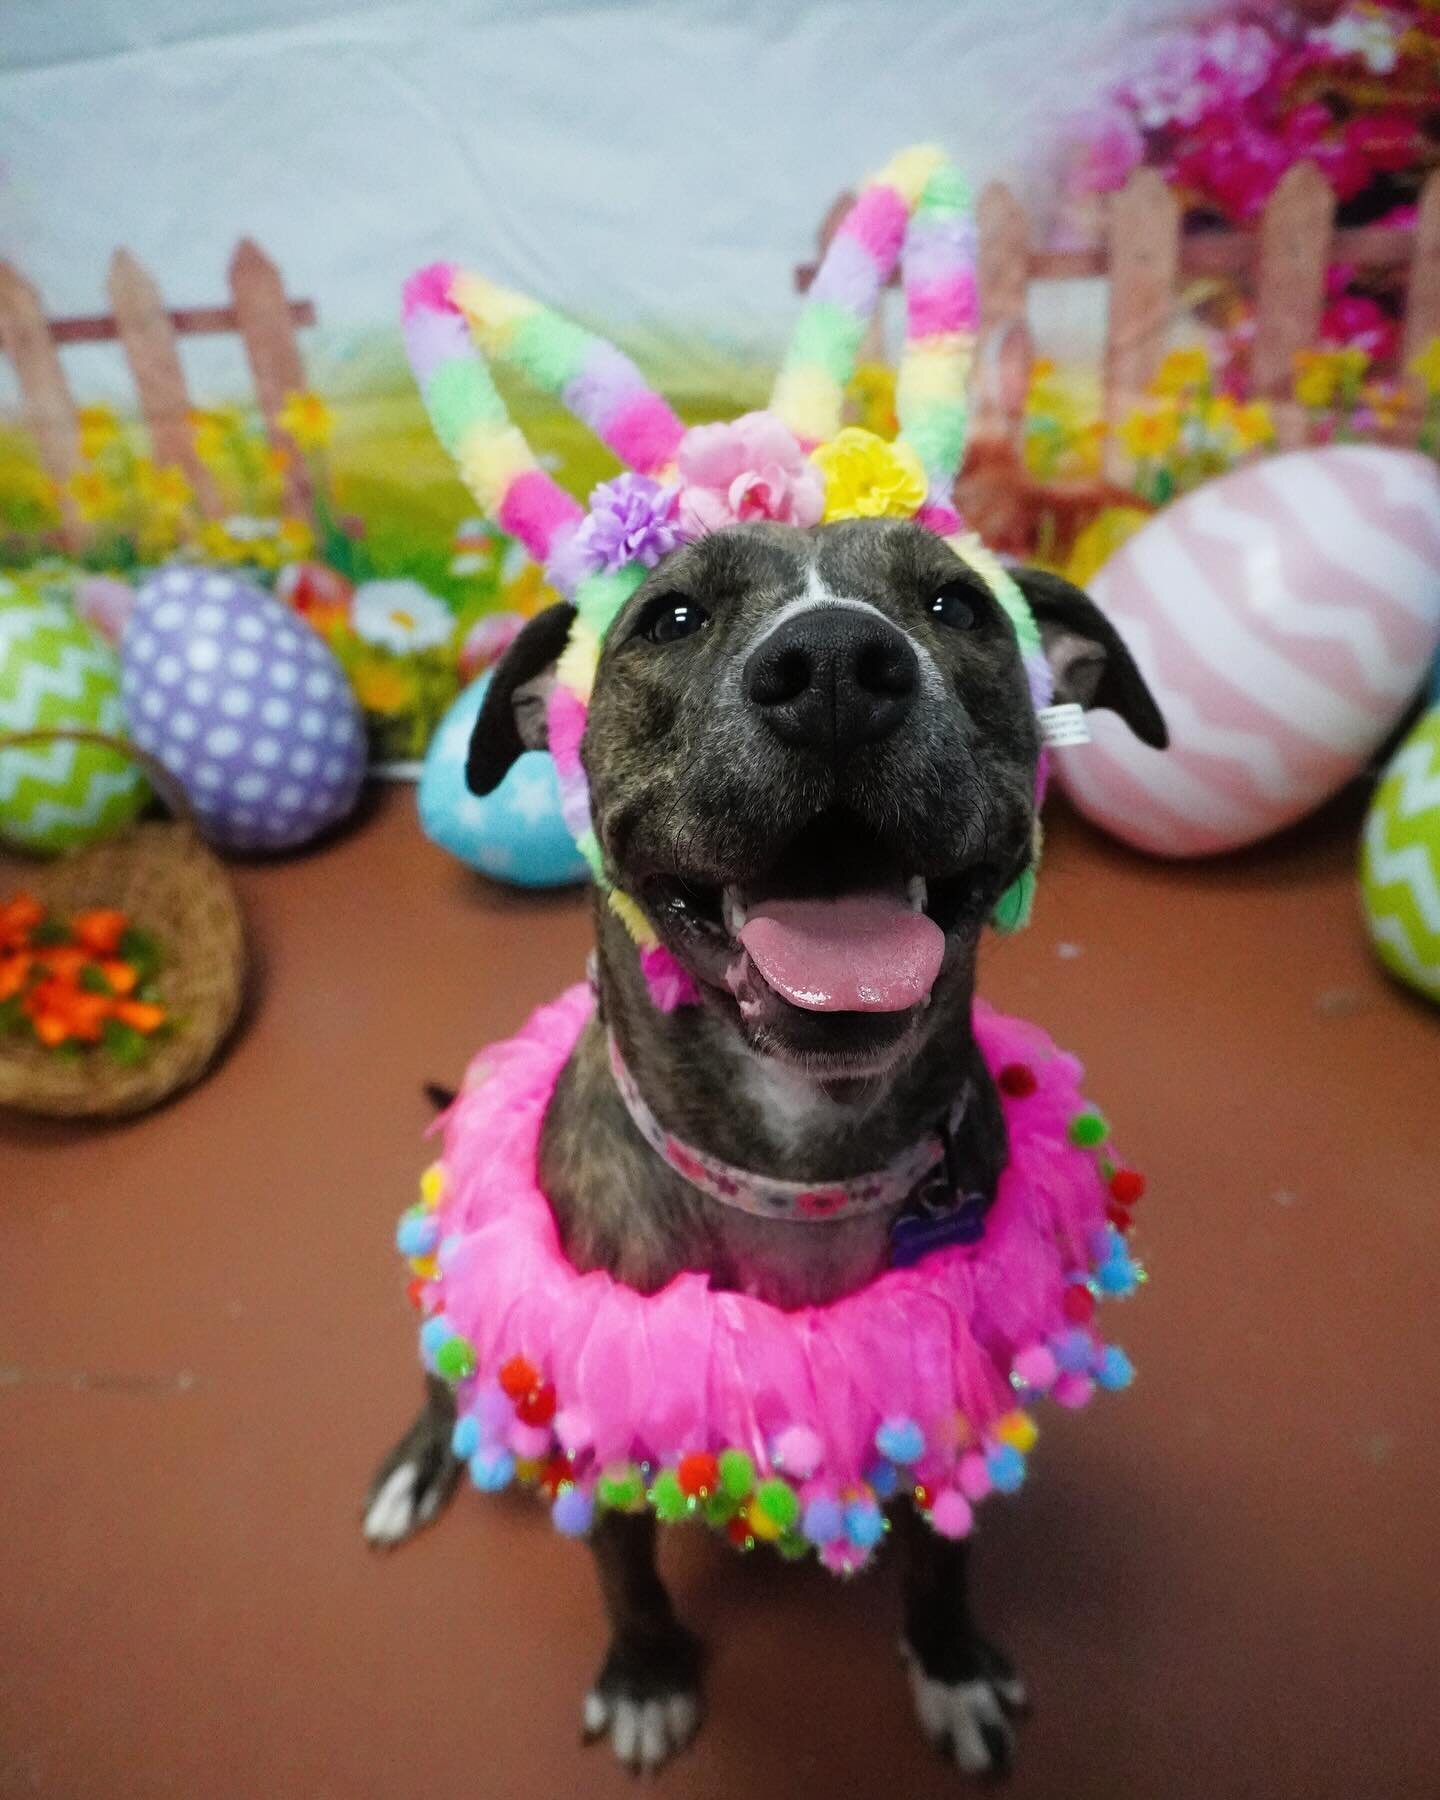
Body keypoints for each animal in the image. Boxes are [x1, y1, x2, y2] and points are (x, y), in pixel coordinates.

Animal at [365, 514, 1166, 1778]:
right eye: (673, 617)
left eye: (957, 606)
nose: (836, 664)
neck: (797, 1162)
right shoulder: (596, 1413)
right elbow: (627, 1578)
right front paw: (648, 1676)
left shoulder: (948, 1393)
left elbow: (945, 1560)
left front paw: (950, 1663)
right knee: (450, 1379)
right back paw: (417, 1464)